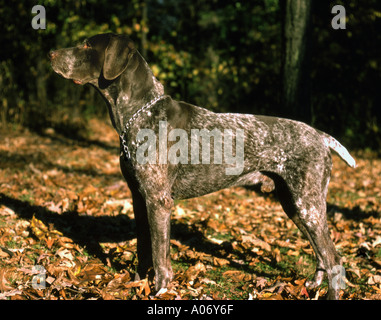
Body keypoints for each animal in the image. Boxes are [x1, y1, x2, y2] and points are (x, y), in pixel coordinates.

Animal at [49, 33, 354, 300]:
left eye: (88, 45)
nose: (50, 53)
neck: (139, 114)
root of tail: (319, 135)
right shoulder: (139, 198)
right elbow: (143, 250)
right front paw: (136, 286)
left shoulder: (159, 201)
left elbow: (160, 257)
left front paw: (161, 291)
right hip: (295, 205)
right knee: (321, 254)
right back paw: (312, 286)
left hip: (307, 204)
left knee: (333, 258)